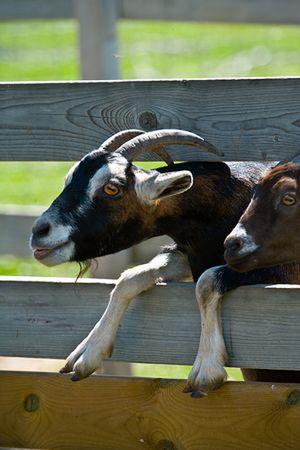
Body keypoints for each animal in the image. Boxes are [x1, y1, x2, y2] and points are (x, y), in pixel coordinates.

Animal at [29, 127, 280, 390]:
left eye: (112, 188)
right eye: (68, 180)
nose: (40, 231)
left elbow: (207, 282)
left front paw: (207, 368)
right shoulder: (188, 254)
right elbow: (130, 276)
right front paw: (88, 352)